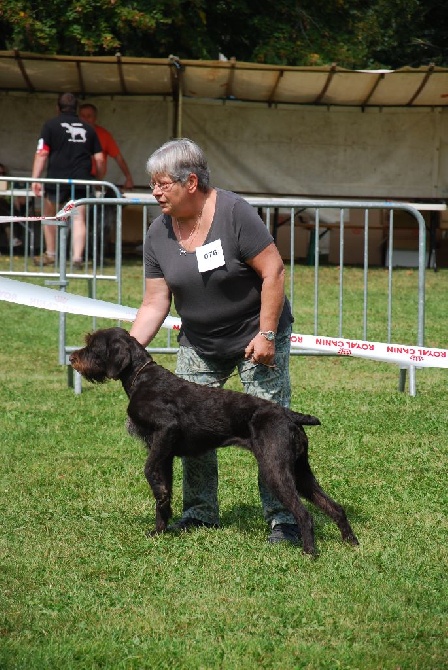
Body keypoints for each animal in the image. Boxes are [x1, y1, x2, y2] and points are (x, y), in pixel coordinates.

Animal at [70, 326, 358, 556]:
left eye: (93, 346)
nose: (72, 357)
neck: (140, 378)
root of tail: (289, 415)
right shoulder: (166, 453)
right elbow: (163, 493)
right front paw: (159, 530)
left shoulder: (165, 432)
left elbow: (149, 470)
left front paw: (159, 499)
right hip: (300, 472)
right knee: (335, 507)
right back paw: (351, 542)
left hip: (274, 470)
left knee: (304, 513)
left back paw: (310, 552)